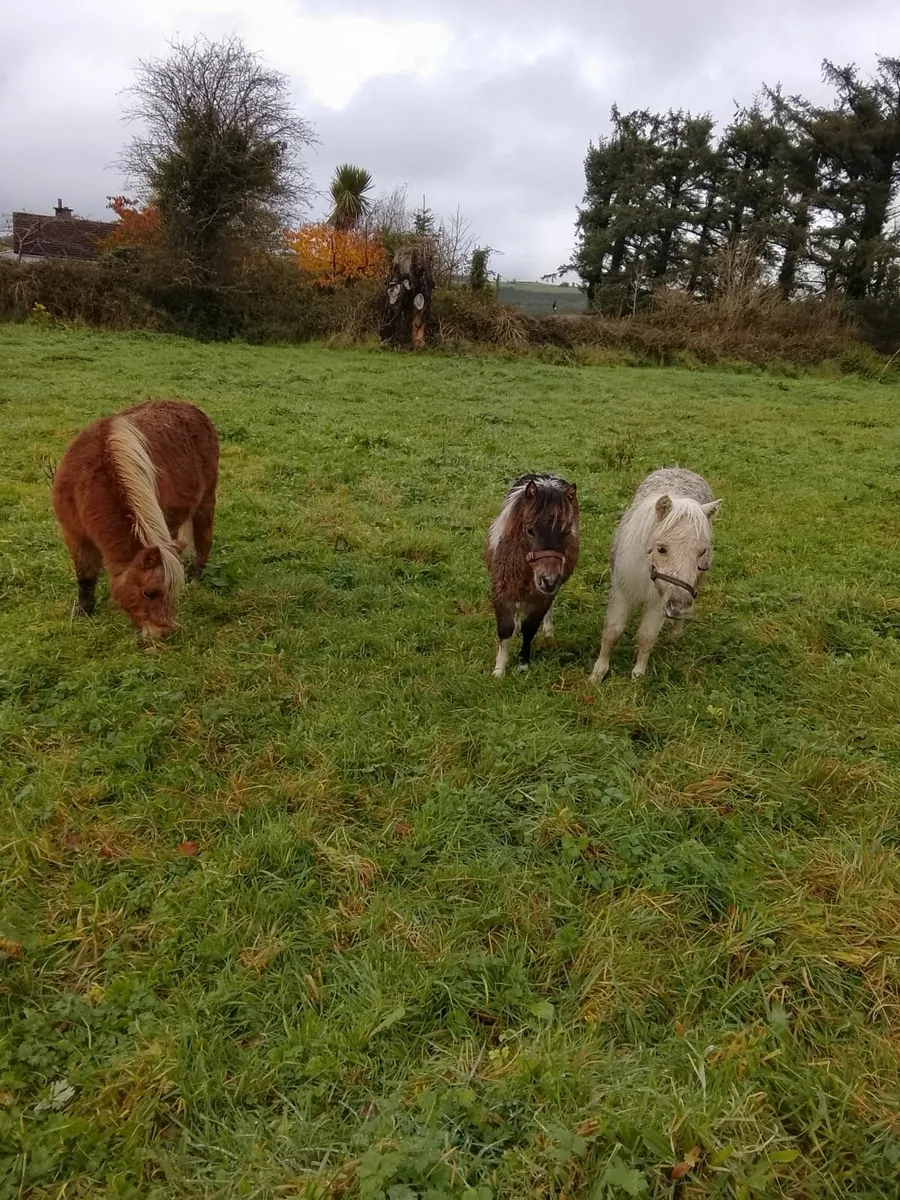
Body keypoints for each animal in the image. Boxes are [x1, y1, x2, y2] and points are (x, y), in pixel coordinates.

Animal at [52, 399, 219, 638]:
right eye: (149, 593)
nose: (164, 633)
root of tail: (193, 409)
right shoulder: (73, 533)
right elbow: (85, 575)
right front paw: (83, 611)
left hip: (205, 501)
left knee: (204, 541)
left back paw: (196, 579)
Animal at [485, 473, 579, 677]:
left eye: (568, 531)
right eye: (530, 530)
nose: (549, 580)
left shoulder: (541, 597)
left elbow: (529, 628)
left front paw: (523, 664)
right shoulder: (502, 590)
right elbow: (505, 628)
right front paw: (499, 670)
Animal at [589, 467, 721, 682]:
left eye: (702, 551)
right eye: (661, 548)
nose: (679, 607)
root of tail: (680, 468)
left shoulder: (661, 601)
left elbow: (647, 637)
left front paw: (638, 675)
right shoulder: (622, 592)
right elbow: (612, 632)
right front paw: (598, 673)